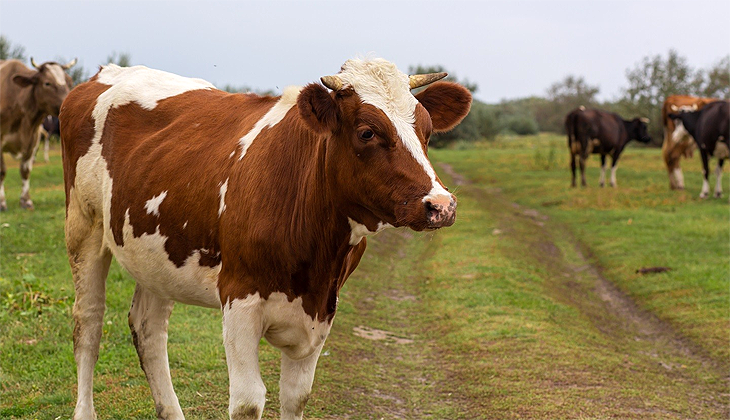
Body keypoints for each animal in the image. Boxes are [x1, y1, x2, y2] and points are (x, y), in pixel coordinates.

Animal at [0, 56, 76, 210]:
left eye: (69, 82)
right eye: (47, 83)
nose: (68, 104)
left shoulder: (33, 140)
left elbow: (25, 170)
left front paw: (26, 201)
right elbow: (2, 171)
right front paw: (2, 202)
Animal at [61, 56, 472, 420]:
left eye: (428, 131)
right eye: (367, 132)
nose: (441, 205)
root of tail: (105, 73)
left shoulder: (323, 310)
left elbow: (296, 396)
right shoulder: (239, 300)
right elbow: (247, 402)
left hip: (156, 253)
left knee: (149, 329)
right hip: (83, 226)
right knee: (88, 325)